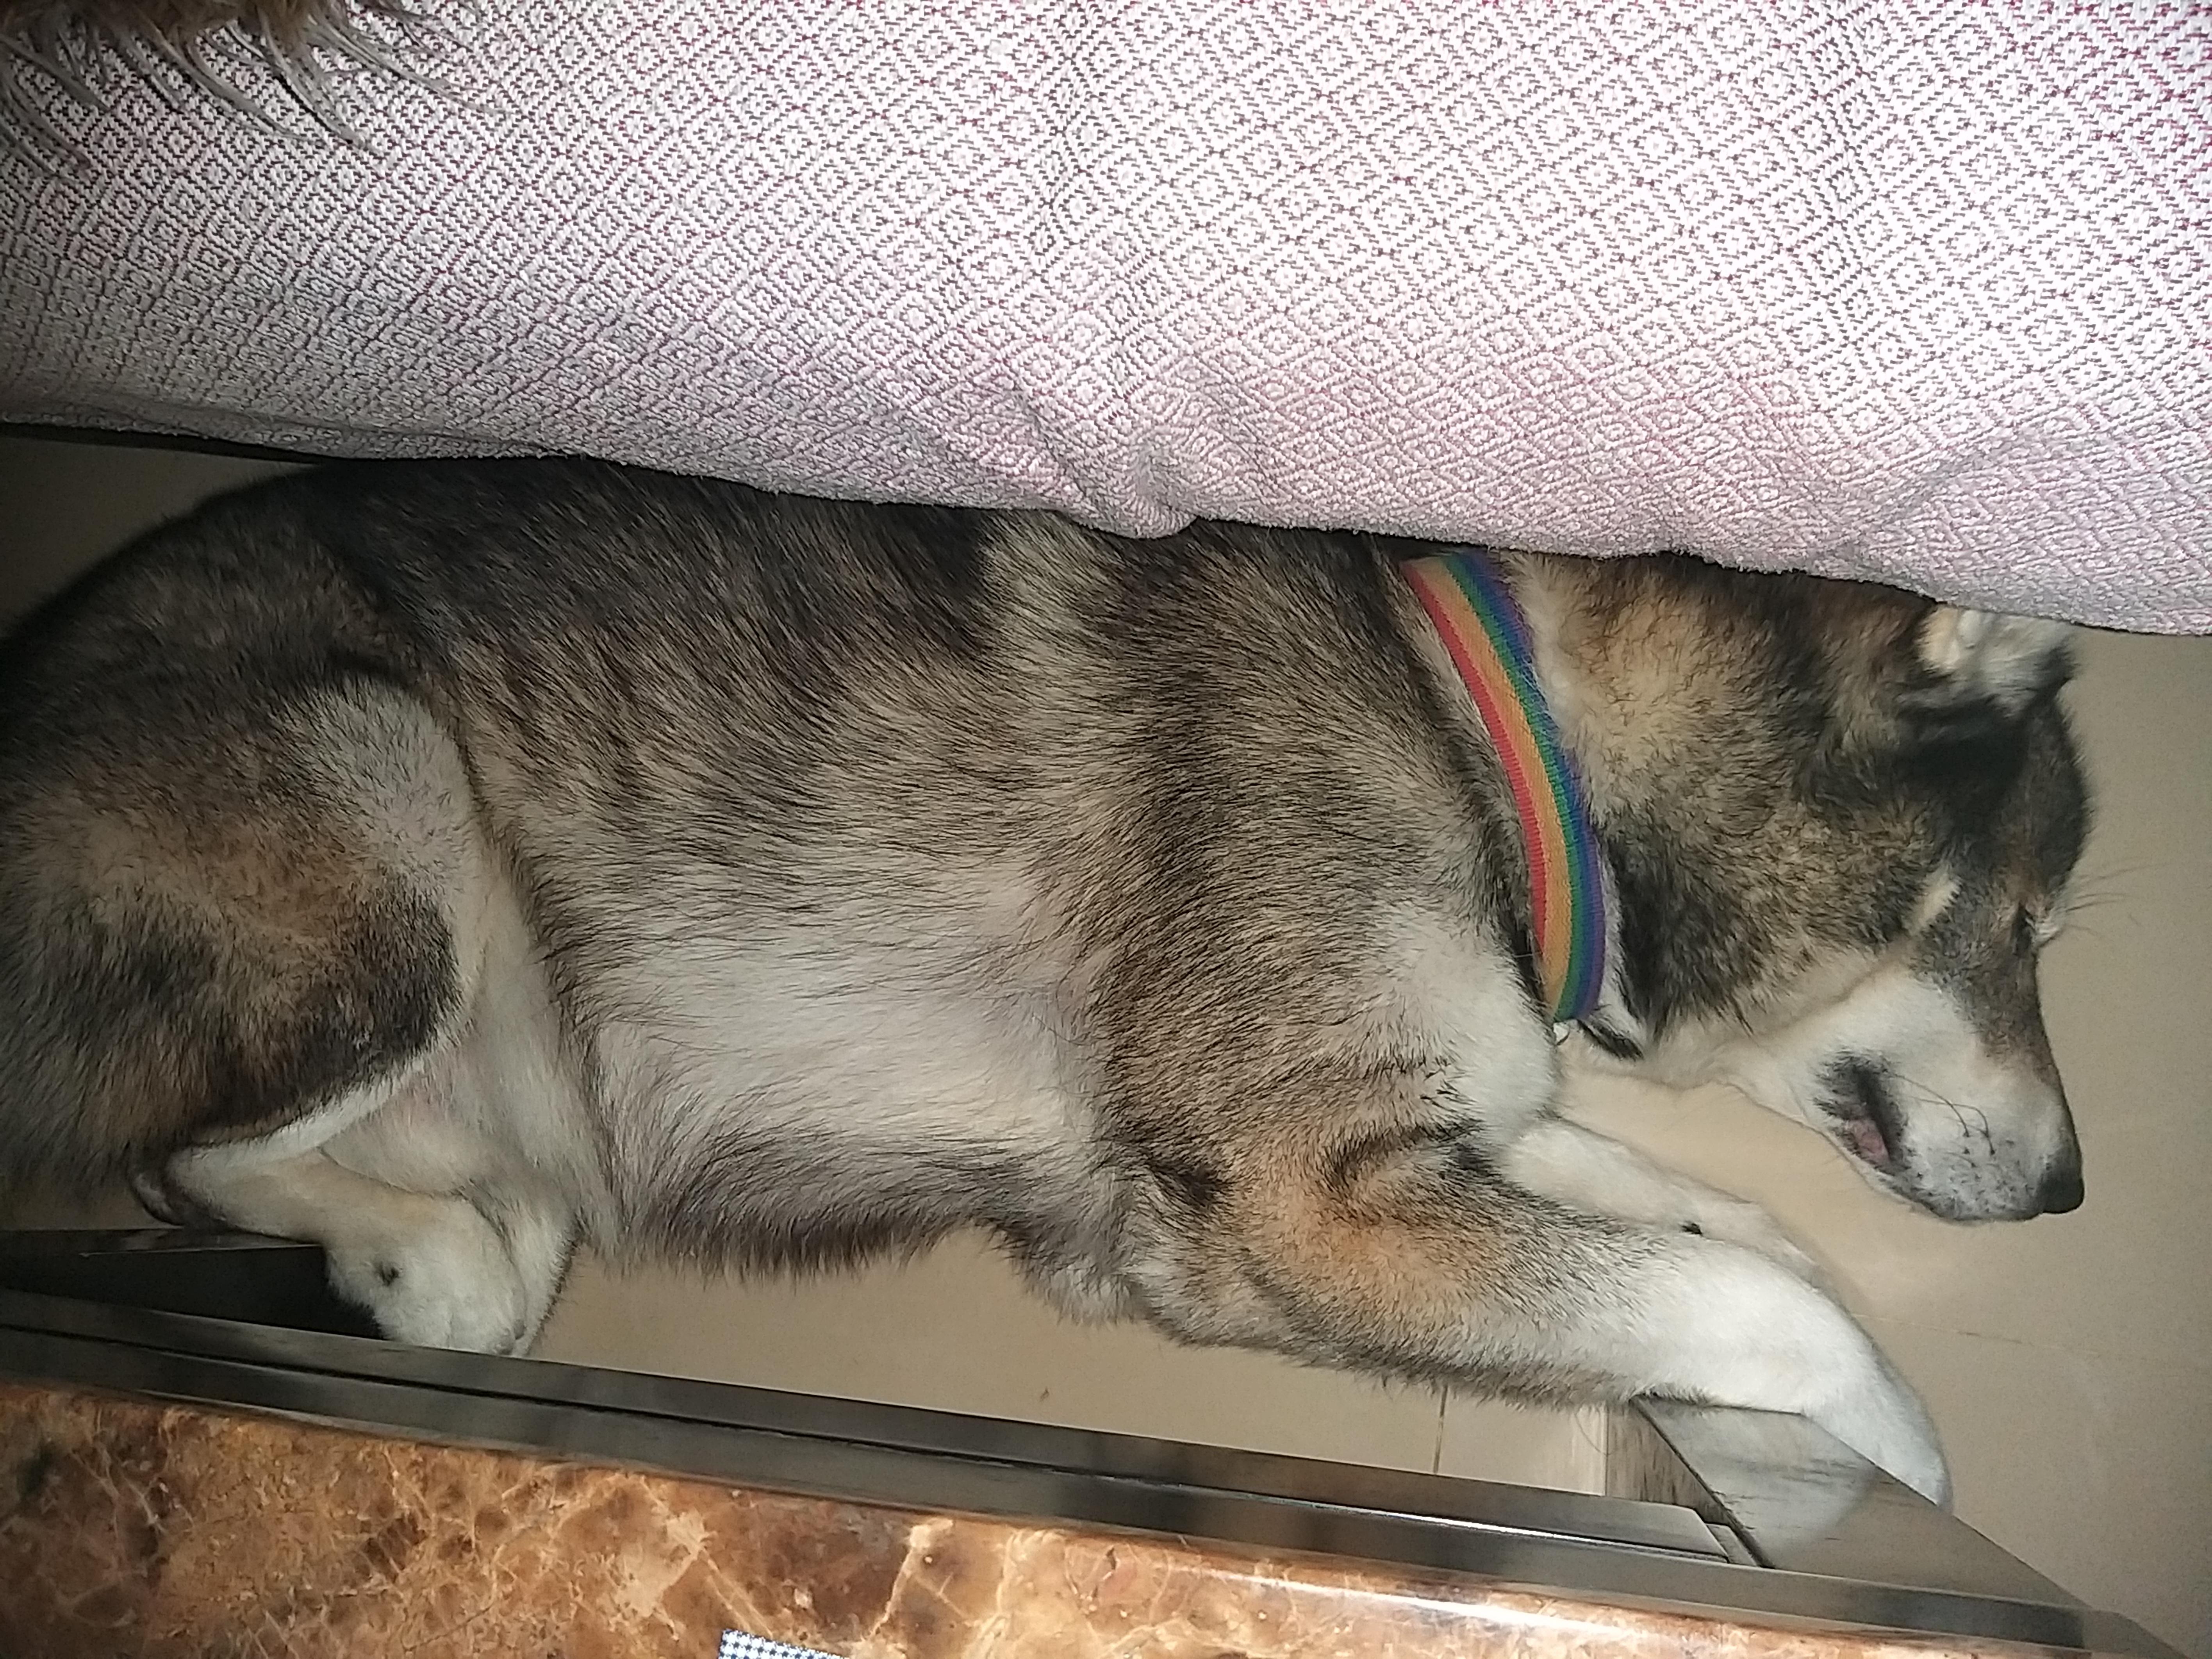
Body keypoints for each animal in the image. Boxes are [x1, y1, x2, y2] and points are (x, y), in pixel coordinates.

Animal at [0, 457, 2090, 1505]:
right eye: (2021, 927)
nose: (2076, 1191)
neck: (1492, 744)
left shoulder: (1455, 1131)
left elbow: (1737, 1238)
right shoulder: (1290, 1207)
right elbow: (1774, 1304)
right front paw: (1911, 1472)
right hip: (389, 808)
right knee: (186, 1156)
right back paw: (420, 1257)